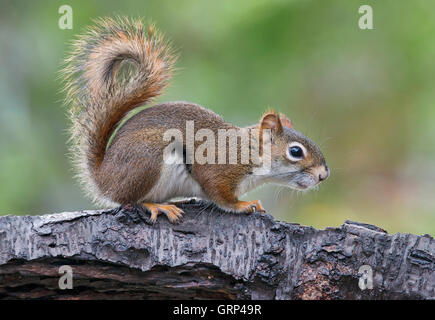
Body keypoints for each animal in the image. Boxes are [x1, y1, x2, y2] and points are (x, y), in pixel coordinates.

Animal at [60, 16, 328, 222]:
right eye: (295, 152)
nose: (323, 176)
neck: (250, 150)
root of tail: (103, 178)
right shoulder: (218, 167)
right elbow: (220, 195)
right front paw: (243, 205)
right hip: (147, 158)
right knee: (129, 200)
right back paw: (158, 206)